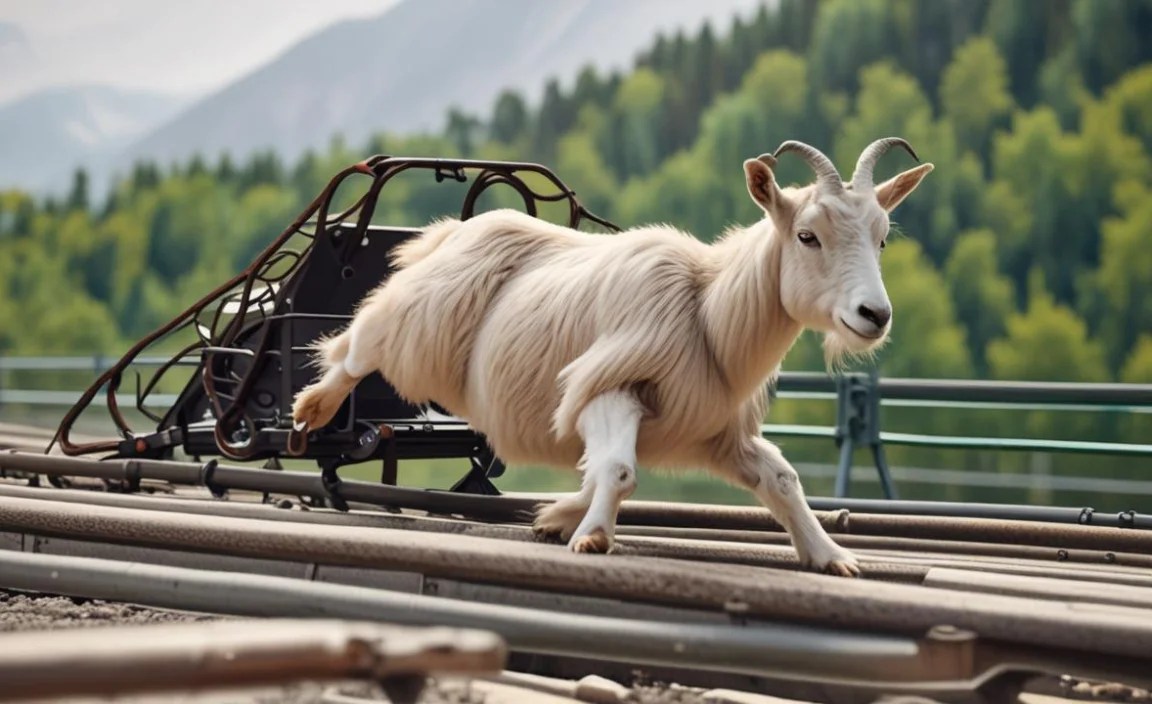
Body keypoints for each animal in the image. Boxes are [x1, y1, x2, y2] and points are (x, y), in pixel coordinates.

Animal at [292, 139, 933, 577]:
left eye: (881, 237)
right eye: (807, 236)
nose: (875, 315)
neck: (706, 308)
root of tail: (451, 230)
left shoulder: (716, 428)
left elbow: (780, 478)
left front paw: (831, 555)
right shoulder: (609, 386)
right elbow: (621, 470)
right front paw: (593, 535)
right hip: (413, 317)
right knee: (357, 345)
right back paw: (311, 410)